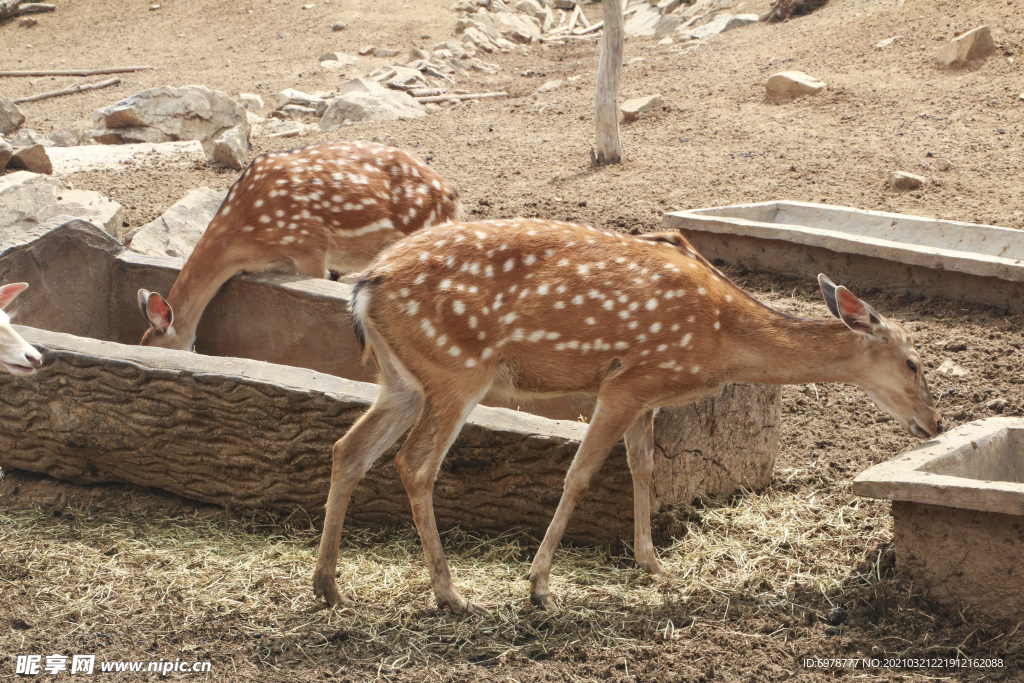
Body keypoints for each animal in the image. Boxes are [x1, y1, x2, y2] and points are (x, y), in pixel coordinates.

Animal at [311, 219, 942, 614]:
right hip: (457, 371)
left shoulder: (647, 395)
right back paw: (452, 595)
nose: (934, 424)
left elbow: (644, 469)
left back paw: (329, 587)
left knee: (349, 449)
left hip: (402, 381)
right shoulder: (624, 384)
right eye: (914, 363)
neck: (722, 342)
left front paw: (653, 564)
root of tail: (363, 287)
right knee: (415, 463)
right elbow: (580, 474)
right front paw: (539, 587)